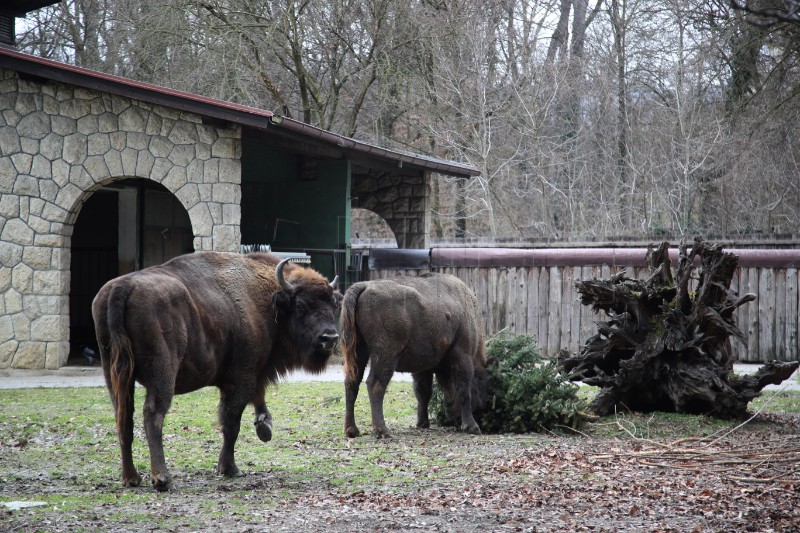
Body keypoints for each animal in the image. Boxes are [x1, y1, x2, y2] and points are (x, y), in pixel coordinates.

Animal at [92, 251, 342, 488]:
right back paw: (162, 478)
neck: (268, 300)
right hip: (162, 373)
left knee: (123, 418)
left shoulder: (255, 373)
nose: (329, 338)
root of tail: (123, 287)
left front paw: (264, 427)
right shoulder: (241, 378)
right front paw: (230, 468)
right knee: (153, 414)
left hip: (114, 374)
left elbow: (256, 400)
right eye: (301, 305)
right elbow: (231, 423)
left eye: (334, 305)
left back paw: (131, 478)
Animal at [340, 272, 488, 438]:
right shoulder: (462, 355)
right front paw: (472, 427)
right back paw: (383, 430)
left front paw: (422, 423)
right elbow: (464, 391)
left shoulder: (424, 367)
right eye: (483, 381)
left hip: (359, 352)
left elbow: (423, 392)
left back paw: (351, 430)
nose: (483, 407)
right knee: (375, 384)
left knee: (352, 383)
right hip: (385, 355)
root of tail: (363, 286)